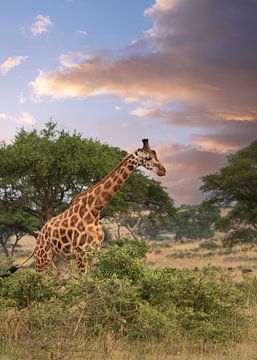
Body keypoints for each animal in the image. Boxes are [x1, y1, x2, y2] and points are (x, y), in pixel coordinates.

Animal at [33, 139, 166, 274]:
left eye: (155, 154)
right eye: (148, 157)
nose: (163, 170)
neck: (95, 210)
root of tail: (40, 234)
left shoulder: (95, 251)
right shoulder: (82, 252)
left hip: (62, 259)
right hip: (43, 258)